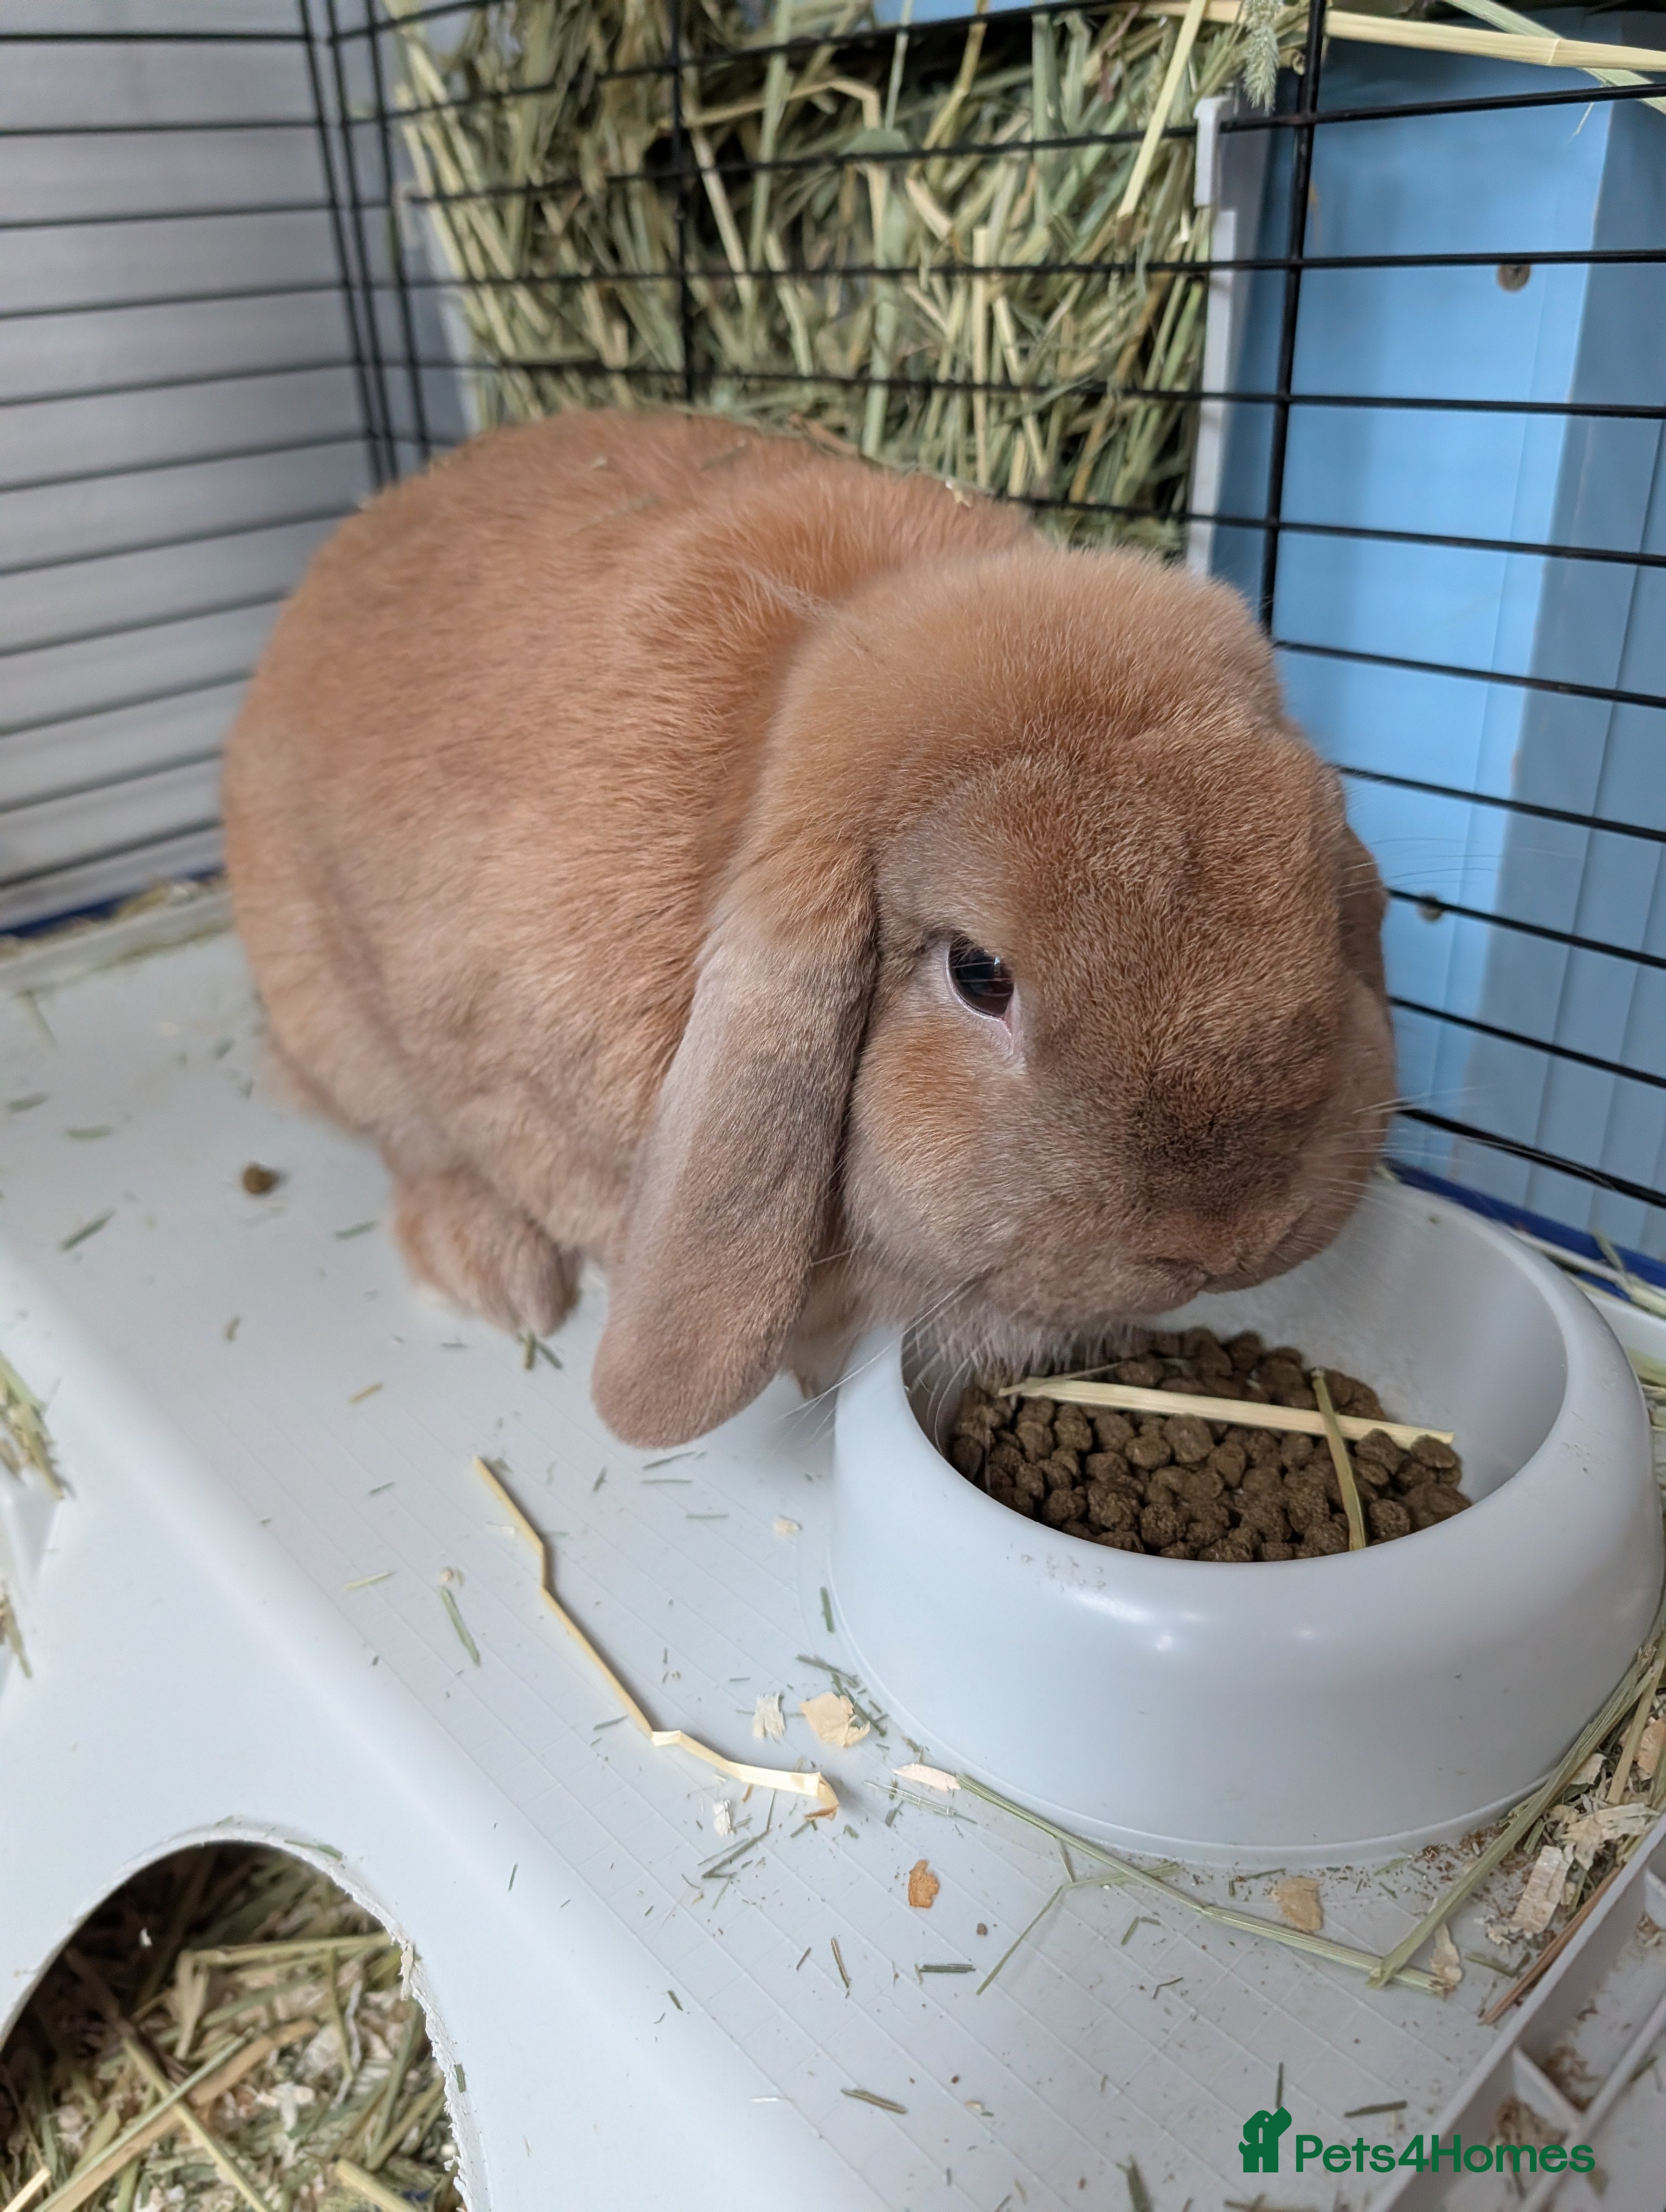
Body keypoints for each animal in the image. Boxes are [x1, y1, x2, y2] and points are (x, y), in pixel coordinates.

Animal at [223, 407, 1394, 1448]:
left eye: (1316, 866)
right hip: (334, 1009)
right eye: (980, 974)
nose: (1225, 1242)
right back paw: (495, 1276)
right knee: (407, 1140)